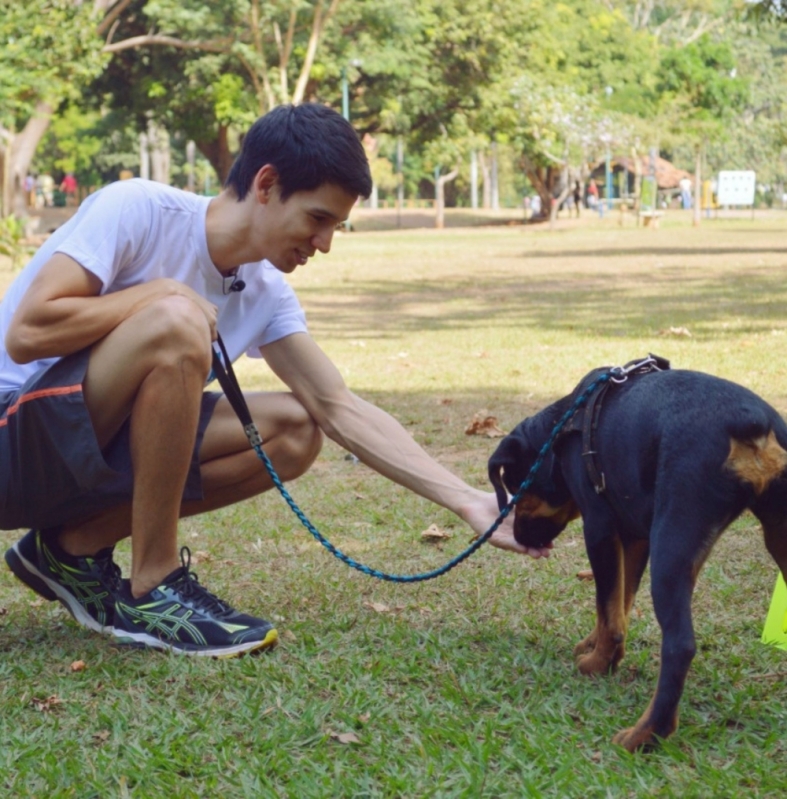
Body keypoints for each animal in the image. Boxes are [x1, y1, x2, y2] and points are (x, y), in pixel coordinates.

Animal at [490, 360, 787, 752]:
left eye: (516, 490)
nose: (519, 537)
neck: (563, 428)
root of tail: (751, 423)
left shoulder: (599, 528)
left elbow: (609, 609)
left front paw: (599, 663)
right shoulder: (634, 537)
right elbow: (620, 603)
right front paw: (597, 645)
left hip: (672, 543)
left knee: (680, 645)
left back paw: (645, 734)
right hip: (777, 536)